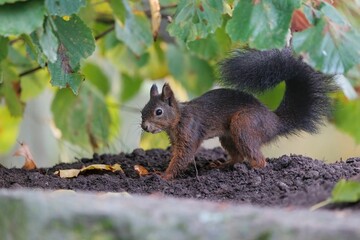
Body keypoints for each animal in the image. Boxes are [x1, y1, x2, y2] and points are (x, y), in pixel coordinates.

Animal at [140, 48, 334, 179]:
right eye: (142, 111)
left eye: (158, 112)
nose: (145, 127)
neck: (179, 118)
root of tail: (275, 122)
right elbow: (176, 154)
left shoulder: (190, 131)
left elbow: (184, 156)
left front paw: (163, 176)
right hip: (228, 135)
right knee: (238, 156)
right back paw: (223, 166)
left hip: (244, 125)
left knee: (259, 159)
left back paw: (253, 169)